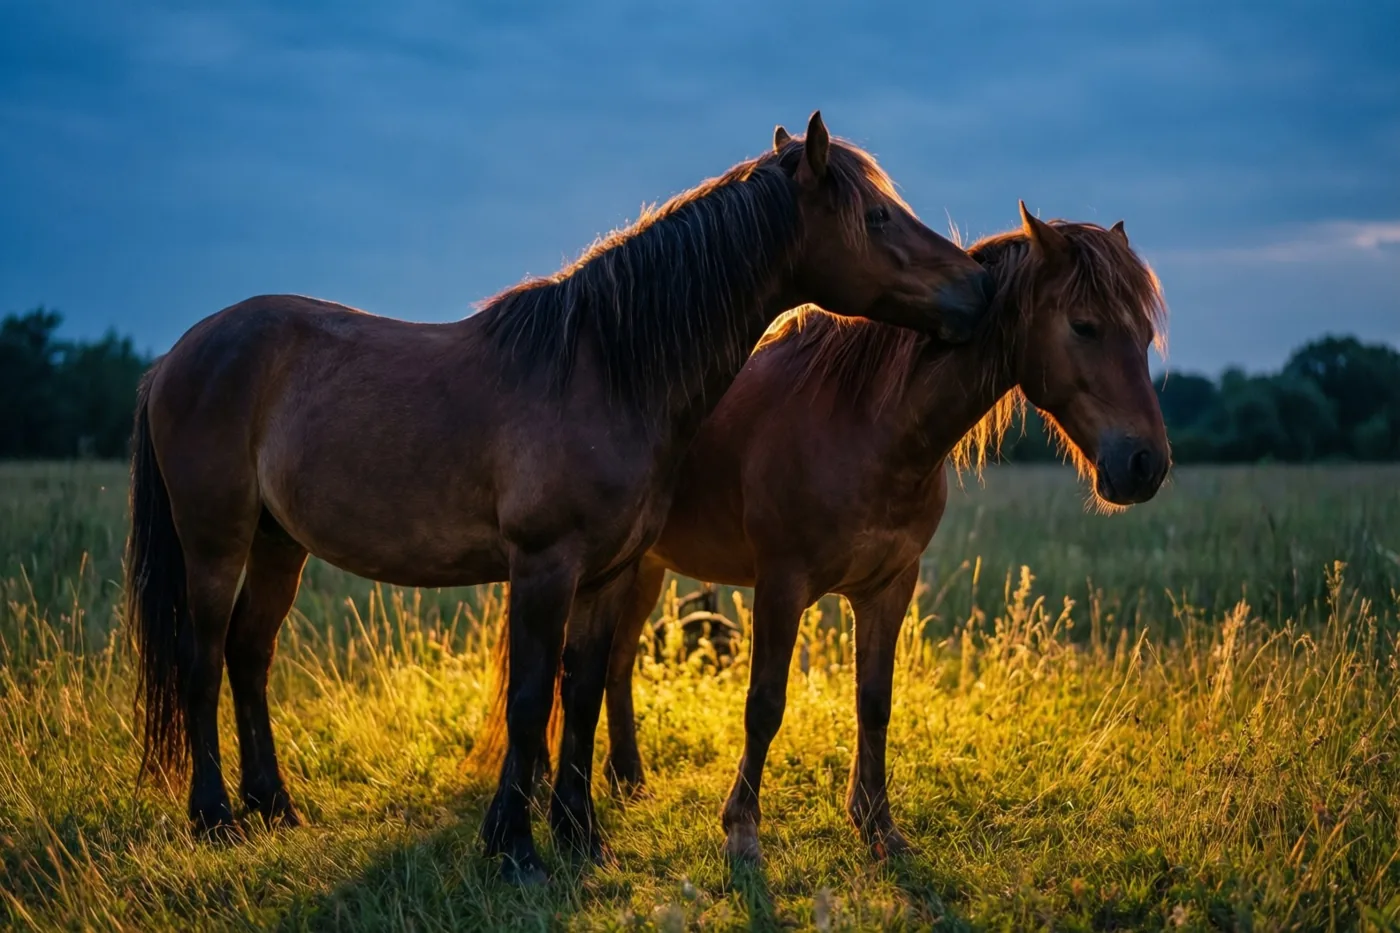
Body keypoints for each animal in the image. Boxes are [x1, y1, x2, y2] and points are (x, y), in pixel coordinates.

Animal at [123, 111, 994, 883]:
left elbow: (579, 692)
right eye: (877, 214)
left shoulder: (605, 571)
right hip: (216, 539)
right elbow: (530, 696)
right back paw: (215, 817)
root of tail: (177, 356)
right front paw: (516, 848)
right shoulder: (544, 566)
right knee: (203, 654)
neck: (604, 366)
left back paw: (274, 805)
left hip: (279, 542)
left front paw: (580, 835)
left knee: (250, 652)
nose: (977, 287)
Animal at [481, 202, 1169, 866]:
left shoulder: (889, 588)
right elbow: (764, 704)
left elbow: (875, 701)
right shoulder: (781, 586)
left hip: (640, 568)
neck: (867, 423)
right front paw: (742, 831)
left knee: (615, 665)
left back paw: (627, 781)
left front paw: (878, 826)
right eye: (1084, 326)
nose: (1146, 465)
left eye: (1143, 335)